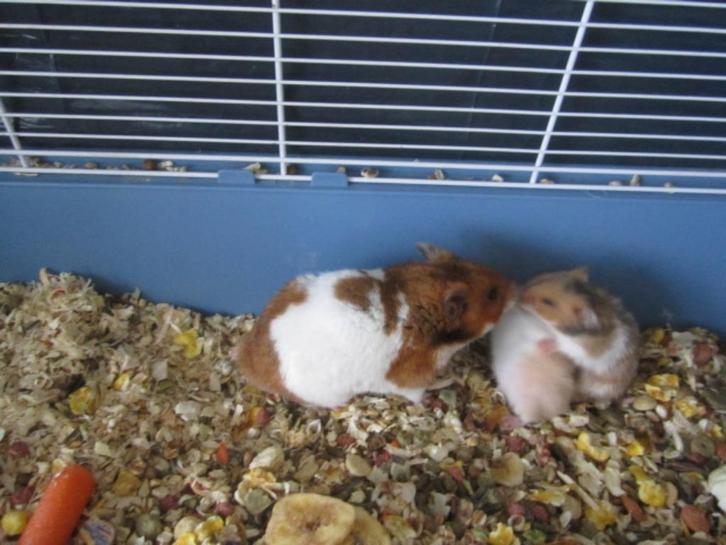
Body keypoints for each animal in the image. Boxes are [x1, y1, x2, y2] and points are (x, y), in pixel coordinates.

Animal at [235, 243, 515, 408]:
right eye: (492, 295)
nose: (515, 288)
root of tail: (245, 360)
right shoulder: (411, 380)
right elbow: (420, 394)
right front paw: (447, 382)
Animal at [517, 267, 640, 404]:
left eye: (548, 302)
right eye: (542, 279)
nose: (519, 296)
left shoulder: (579, 347)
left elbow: (562, 345)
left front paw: (543, 345)